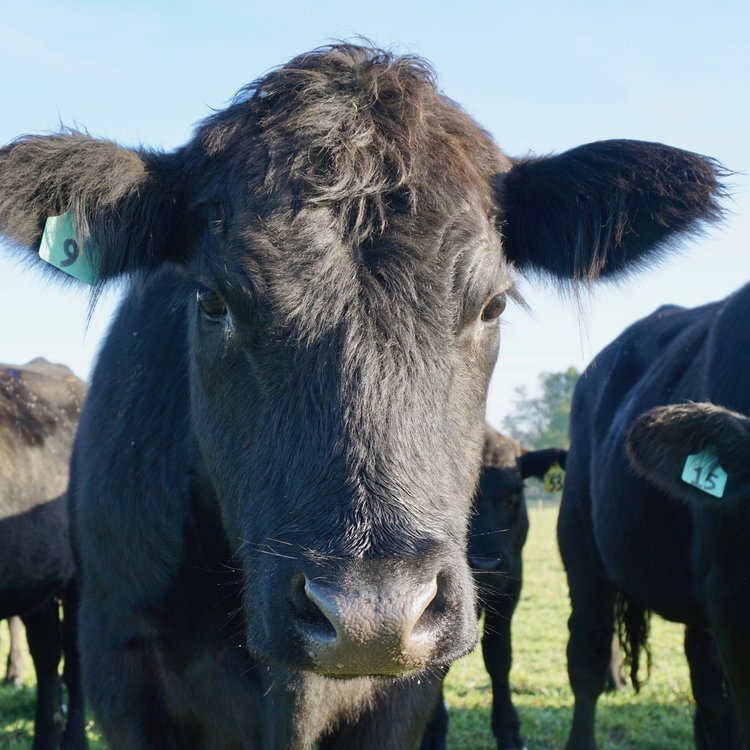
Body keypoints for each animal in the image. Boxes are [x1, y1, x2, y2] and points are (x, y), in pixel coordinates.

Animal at [420, 428, 566, 750]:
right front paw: (433, 732)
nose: (486, 564)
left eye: (516, 494)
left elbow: (499, 656)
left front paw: (508, 730)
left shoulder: (512, 584)